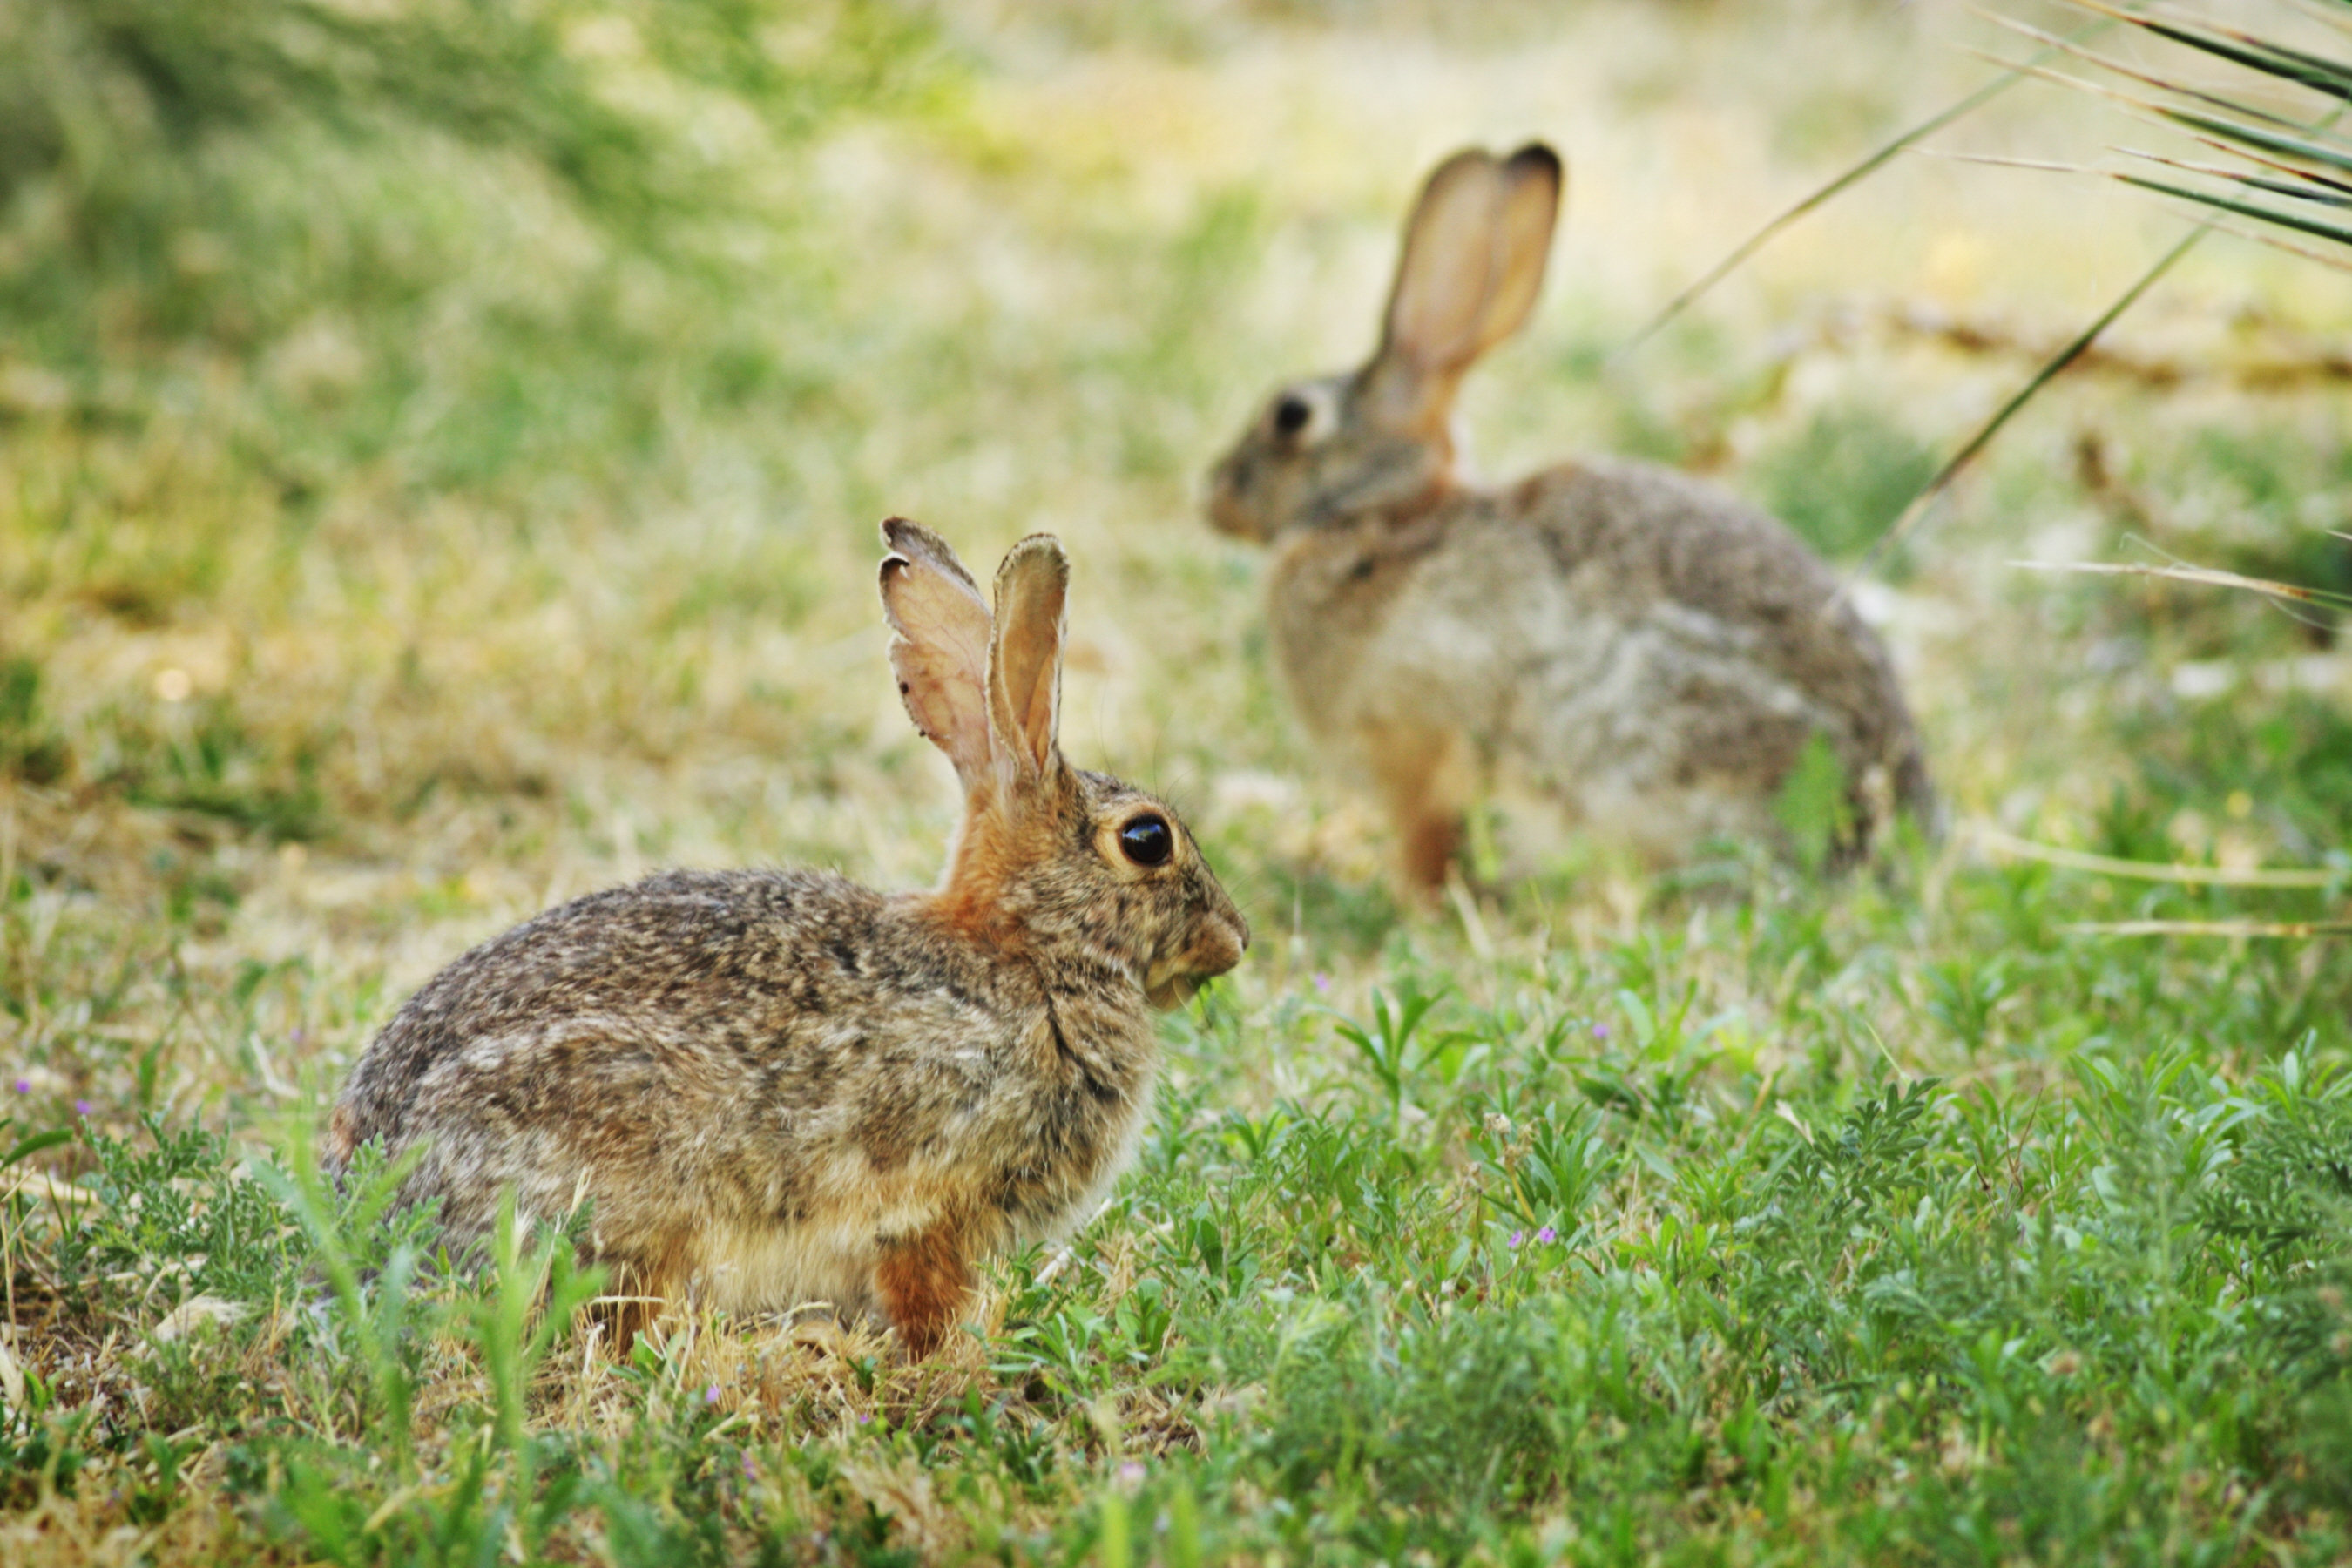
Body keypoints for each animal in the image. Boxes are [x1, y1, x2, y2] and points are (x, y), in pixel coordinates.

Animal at [323, 519, 1249, 1357]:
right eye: (1147, 840)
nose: (1235, 939)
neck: (1027, 948)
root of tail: (372, 1208)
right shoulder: (929, 1203)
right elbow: (923, 1291)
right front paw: (956, 1351)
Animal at [1206, 142, 1933, 896]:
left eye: (1291, 416)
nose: (1212, 496)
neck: (1383, 516)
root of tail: (1885, 834)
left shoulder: (1419, 747)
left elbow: (1425, 843)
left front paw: (1415, 901)